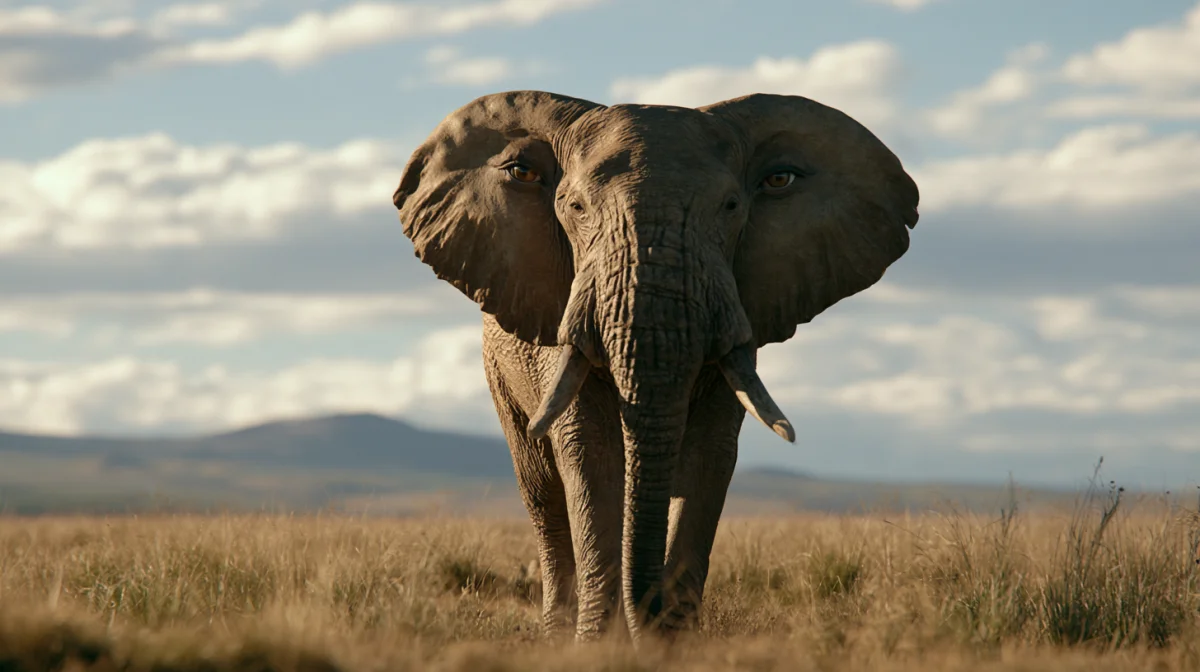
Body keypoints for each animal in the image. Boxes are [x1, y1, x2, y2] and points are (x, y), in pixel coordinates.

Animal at [393, 90, 919, 643]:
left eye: (731, 207)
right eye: (574, 206)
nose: (648, 615)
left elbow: (711, 458)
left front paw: (670, 643)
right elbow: (589, 456)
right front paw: (596, 646)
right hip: (500, 374)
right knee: (544, 498)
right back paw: (557, 630)